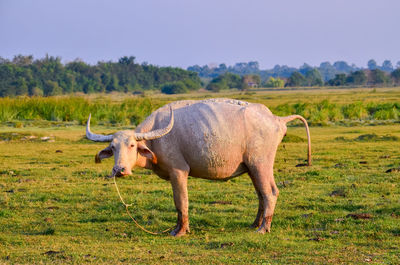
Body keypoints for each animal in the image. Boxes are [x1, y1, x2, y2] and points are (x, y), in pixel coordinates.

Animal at [86, 97, 312, 235]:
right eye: (113, 147)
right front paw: (176, 227)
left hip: (261, 163)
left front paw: (181, 231)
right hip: (252, 167)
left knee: (270, 192)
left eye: (132, 145)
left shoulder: (178, 171)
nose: (120, 170)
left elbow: (181, 201)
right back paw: (255, 224)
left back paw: (263, 228)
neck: (156, 140)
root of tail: (276, 119)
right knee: (261, 194)